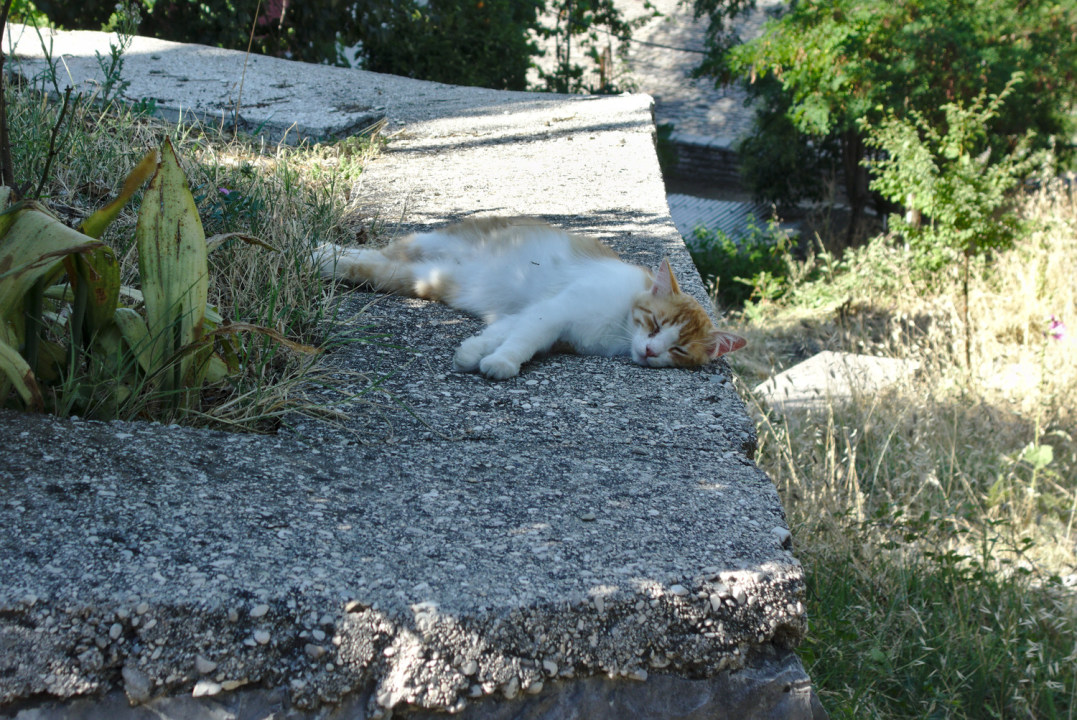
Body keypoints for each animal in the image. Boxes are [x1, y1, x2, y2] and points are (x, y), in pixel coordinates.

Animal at [314, 216, 745, 378]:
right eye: (655, 324)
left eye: (679, 351)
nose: (651, 351)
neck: (620, 326)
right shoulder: (554, 311)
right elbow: (522, 340)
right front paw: (502, 362)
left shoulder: (540, 317)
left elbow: (504, 332)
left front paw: (474, 353)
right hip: (426, 246)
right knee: (369, 253)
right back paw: (319, 251)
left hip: (424, 278)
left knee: (372, 263)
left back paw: (323, 257)